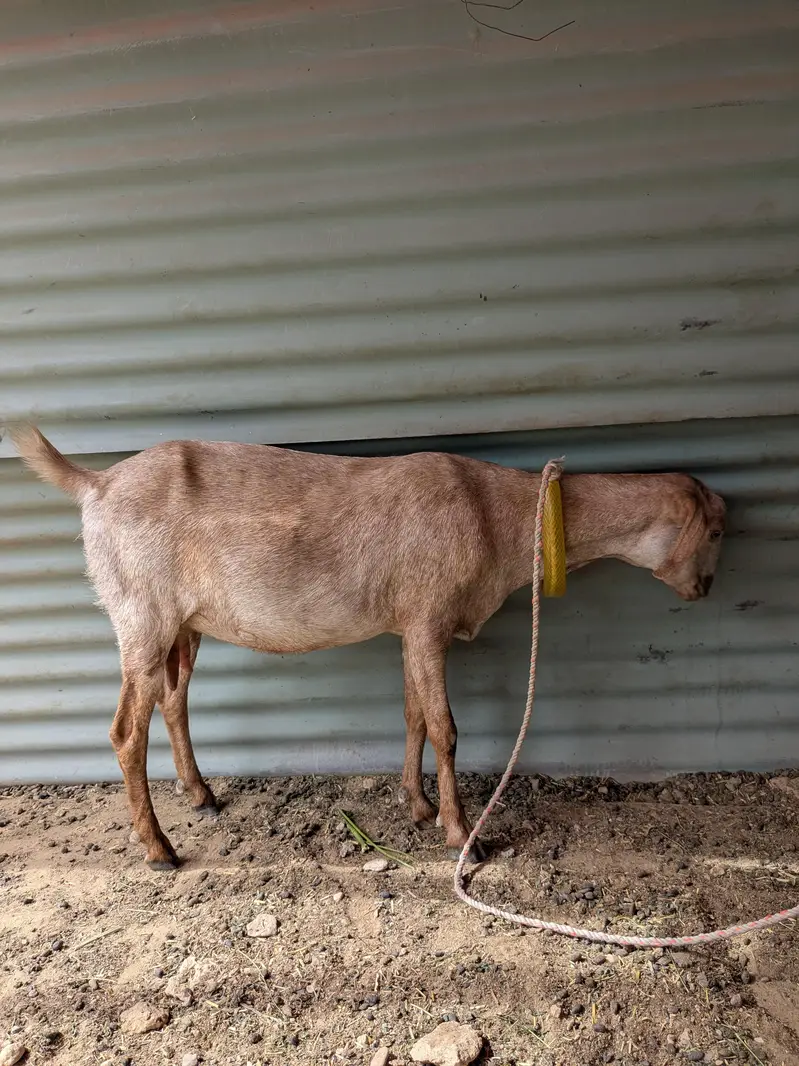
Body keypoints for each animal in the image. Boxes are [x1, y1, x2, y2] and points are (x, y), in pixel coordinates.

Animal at [10, 425, 726, 870]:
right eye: (717, 530)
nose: (706, 588)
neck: (498, 513)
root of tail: (94, 485)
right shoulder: (431, 614)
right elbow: (446, 727)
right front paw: (464, 837)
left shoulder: (411, 624)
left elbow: (413, 715)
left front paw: (418, 805)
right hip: (141, 609)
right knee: (126, 729)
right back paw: (160, 850)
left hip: (181, 621)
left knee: (173, 697)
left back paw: (201, 794)